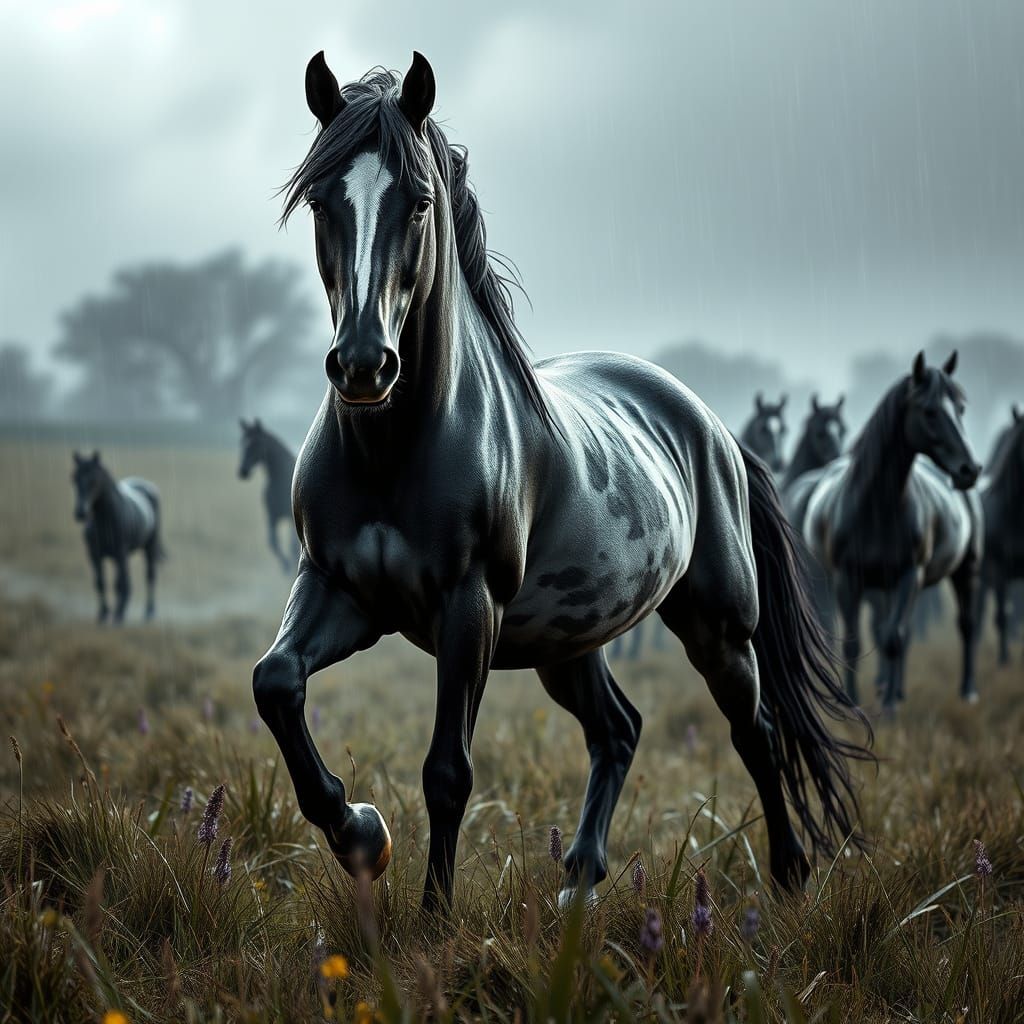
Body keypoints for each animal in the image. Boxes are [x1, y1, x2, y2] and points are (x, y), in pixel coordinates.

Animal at [71, 451, 163, 623]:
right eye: (73, 478)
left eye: (94, 479)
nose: (80, 512)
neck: (104, 520)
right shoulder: (94, 554)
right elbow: (100, 582)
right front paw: (103, 613)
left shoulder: (120, 552)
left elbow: (118, 584)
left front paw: (118, 614)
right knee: (124, 580)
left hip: (149, 546)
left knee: (149, 575)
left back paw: (149, 611)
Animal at [238, 418, 300, 573]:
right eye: (241, 442)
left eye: (256, 443)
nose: (242, 471)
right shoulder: (272, 516)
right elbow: (272, 542)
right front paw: (286, 566)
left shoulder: (290, 517)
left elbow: (292, 546)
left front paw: (290, 565)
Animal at [253, 50, 869, 911]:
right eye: (320, 201)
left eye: (419, 203)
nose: (364, 366)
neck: (391, 451)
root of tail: (712, 428)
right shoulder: (339, 590)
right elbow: (276, 681)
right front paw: (362, 834)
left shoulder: (467, 609)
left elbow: (447, 771)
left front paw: (433, 918)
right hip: (566, 642)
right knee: (619, 730)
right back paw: (579, 883)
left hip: (716, 627)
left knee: (757, 732)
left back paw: (787, 877)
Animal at [803, 352, 982, 710]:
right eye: (929, 411)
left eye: (961, 408)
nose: (969, 470)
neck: (877, 509)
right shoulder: (848, 578)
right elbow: (855, 643)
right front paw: (853, 703)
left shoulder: (908, 574)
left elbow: (893, 639)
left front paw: (888, 709)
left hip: (965, 569)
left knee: (965, 626)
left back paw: (965, 691)